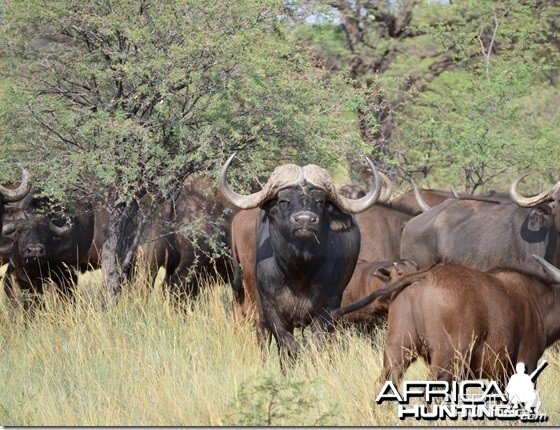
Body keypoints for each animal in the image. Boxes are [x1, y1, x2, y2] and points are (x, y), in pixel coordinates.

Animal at [219, 153, 380, 362]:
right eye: (284, 200)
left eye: (320, 201)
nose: (305, 220)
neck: (299, 272)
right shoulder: (273, 310)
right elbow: (287, 347)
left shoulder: (327, 308)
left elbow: (319, 344)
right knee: (261, 330)